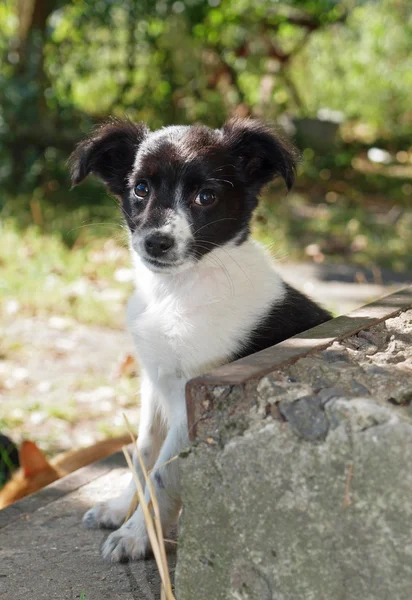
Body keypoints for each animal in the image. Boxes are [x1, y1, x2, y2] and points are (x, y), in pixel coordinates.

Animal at [69, 118, 330, 564]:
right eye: (141, 189)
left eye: (205, 197)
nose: (156, 242)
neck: (177, 290)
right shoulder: (154, 386)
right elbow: (143, 454)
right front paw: (120, 511)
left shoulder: (190, 399)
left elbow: (162, 472)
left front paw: (136, 535)